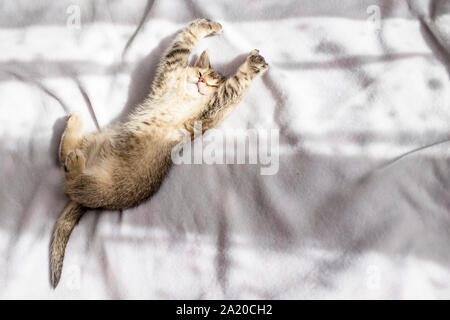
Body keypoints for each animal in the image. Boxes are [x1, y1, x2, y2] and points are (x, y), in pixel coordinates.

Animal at [50, 17, 268, 288]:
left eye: (213, 82)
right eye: (201, 73)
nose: (201, 82)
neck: (185, 94)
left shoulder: (210, 110)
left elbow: (235, 84)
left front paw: (253, 63)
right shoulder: (170, 72)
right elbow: (185, 39)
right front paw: (210, 26)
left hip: (104, 186)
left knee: (72, 180)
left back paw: (75, 159)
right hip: (96, 142)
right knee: (64, 159)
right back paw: (75, 127)